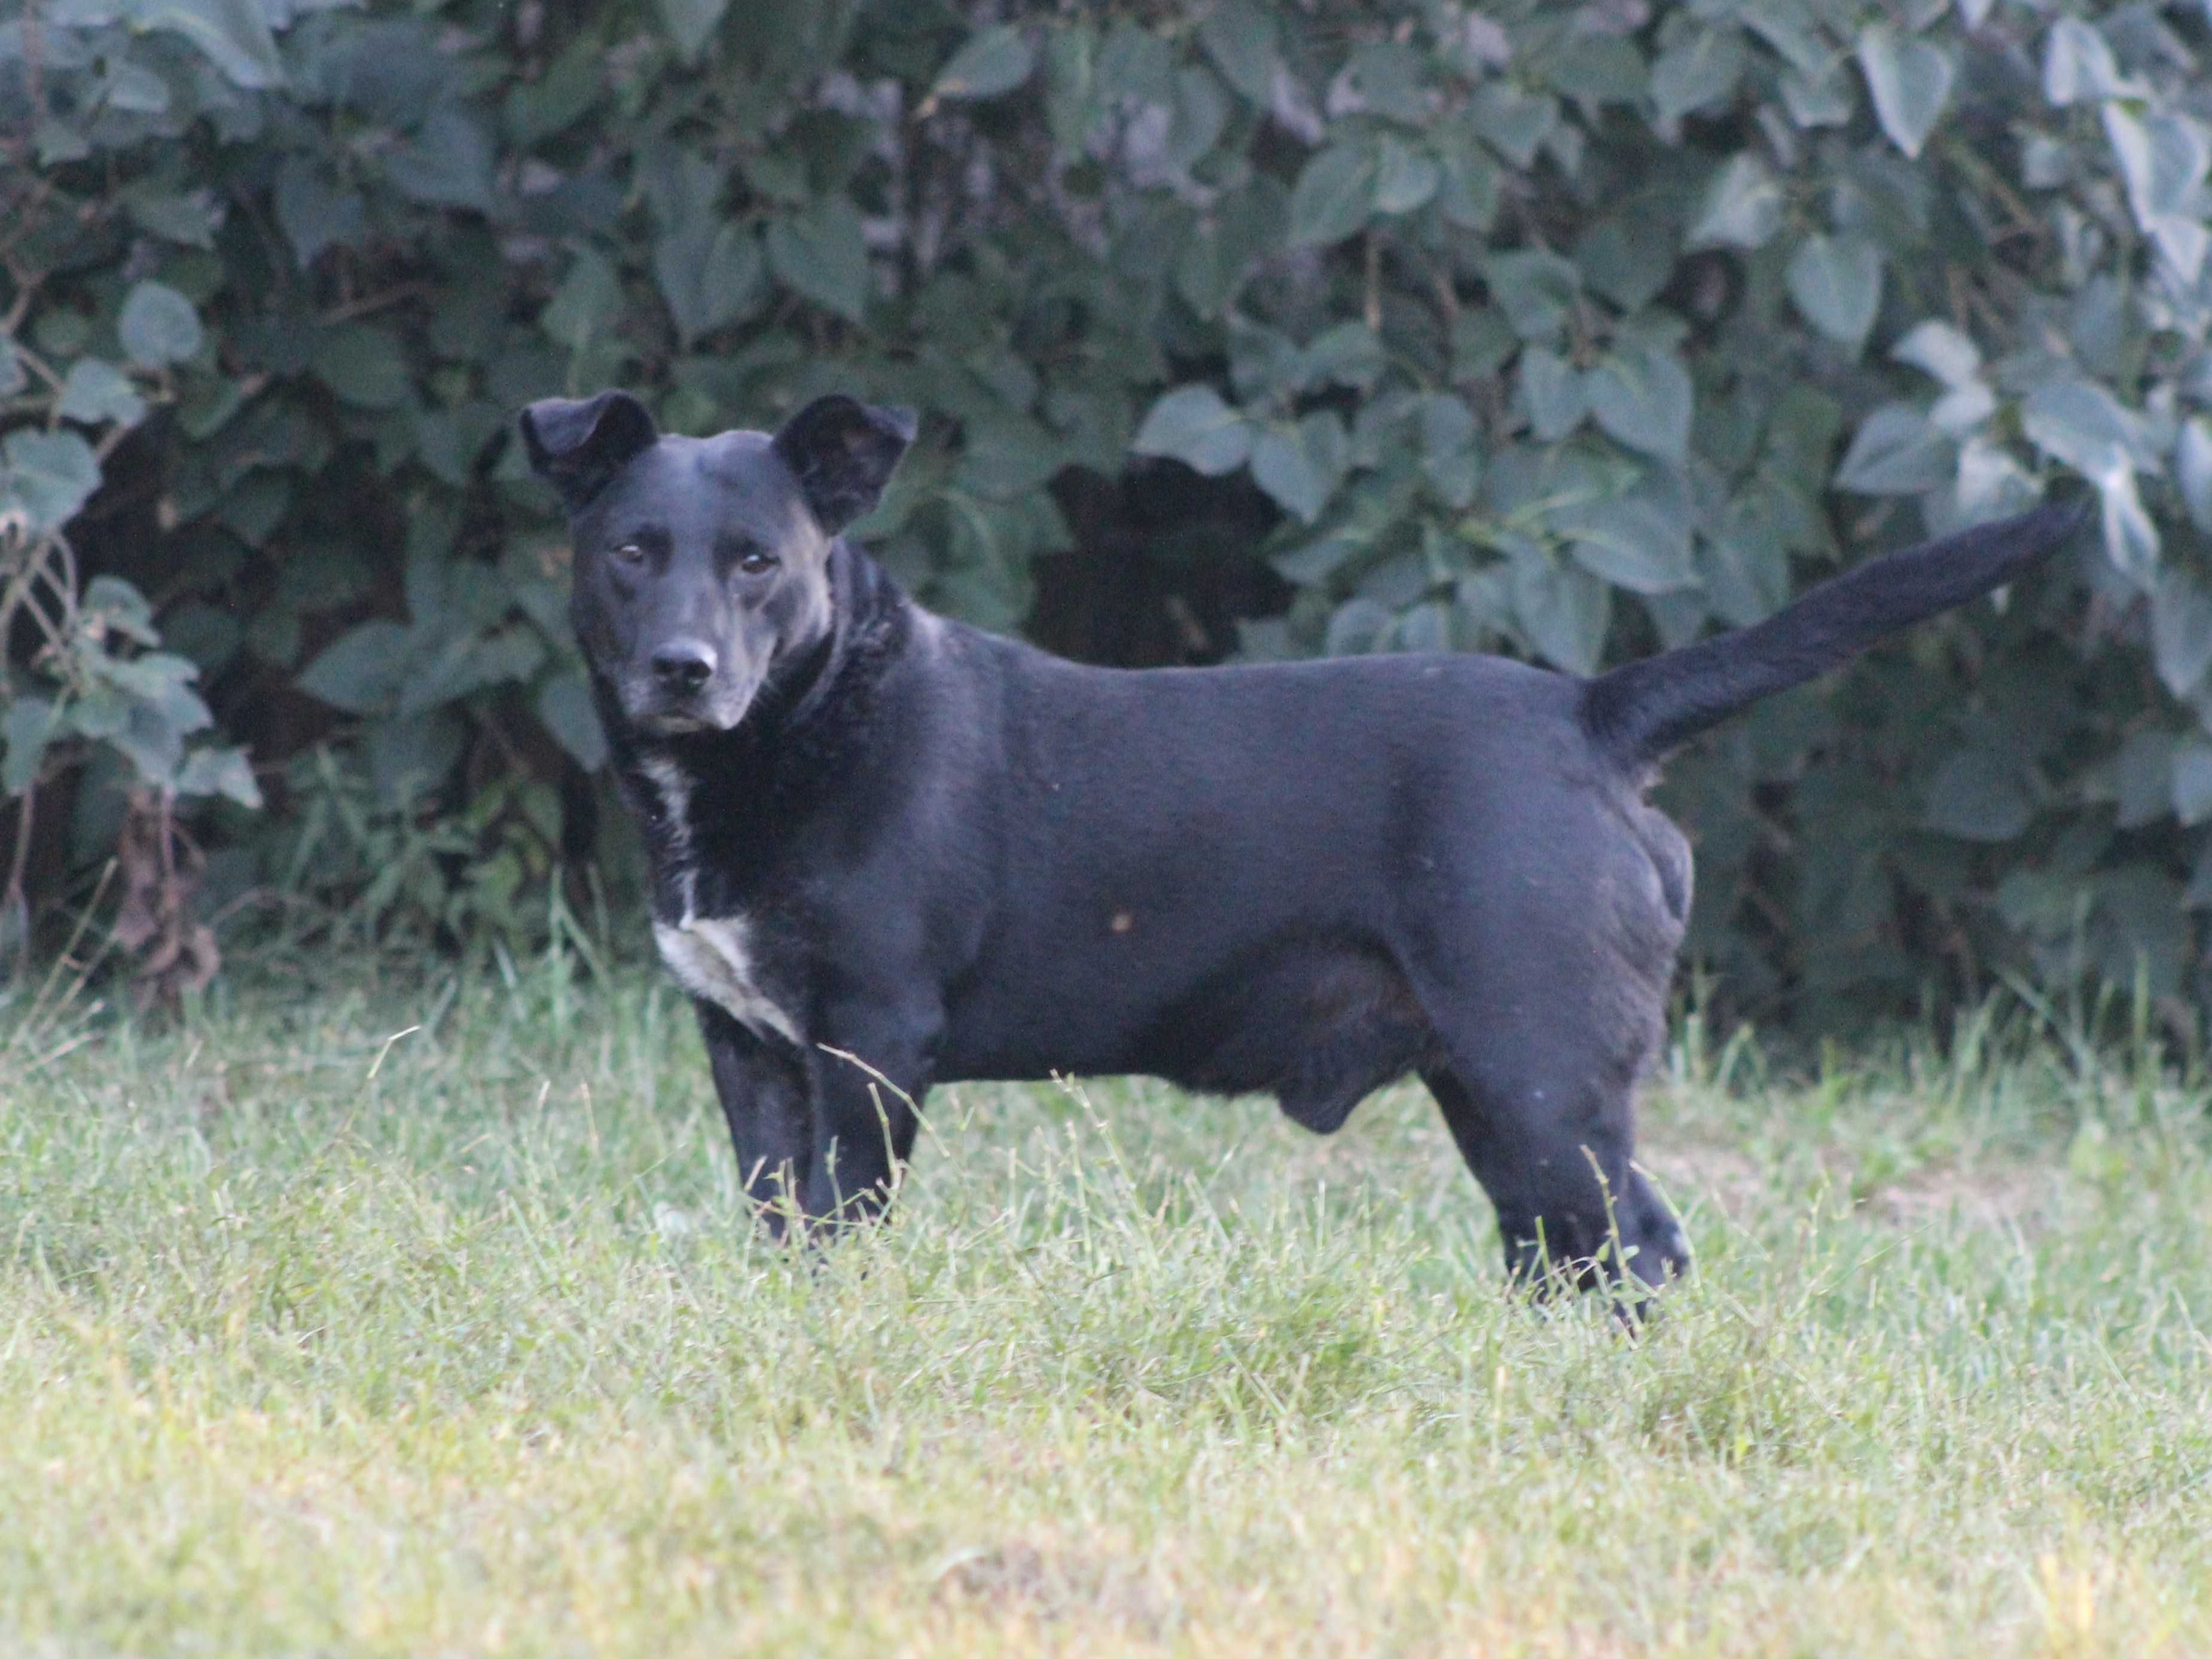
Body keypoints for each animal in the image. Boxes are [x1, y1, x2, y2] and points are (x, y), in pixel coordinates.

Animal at [517, 393, 2070, 1300]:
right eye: (634, 550)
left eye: (760, 561)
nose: (682, 670)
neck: (799, 729)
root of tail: (1591, 710)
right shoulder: (748, 1047)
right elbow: (776, 1225)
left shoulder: (871, 1045)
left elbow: (837, 1235)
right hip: (1494, 1092)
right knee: (1568, 1254)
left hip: (1545, 1070)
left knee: (1632, 1248)